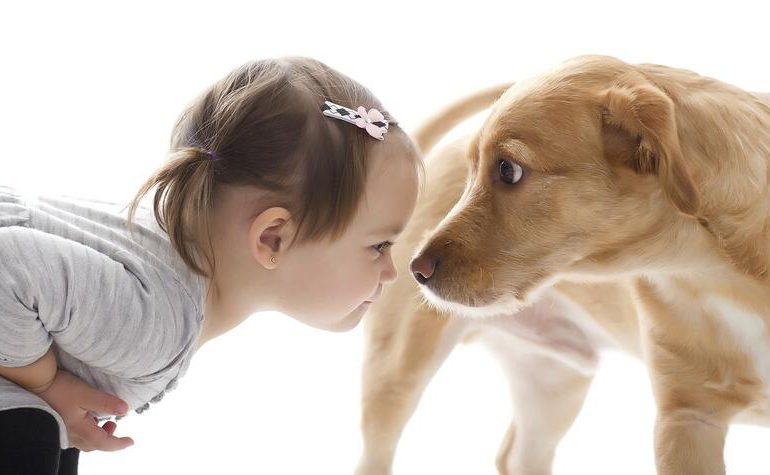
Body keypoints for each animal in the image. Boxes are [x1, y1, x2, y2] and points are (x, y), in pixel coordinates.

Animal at [404, 56, 764, 475]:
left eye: (508, 170)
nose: (416, 269)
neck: (711, 277)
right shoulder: (687, 420)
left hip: (552, 379)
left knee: (519, 455)